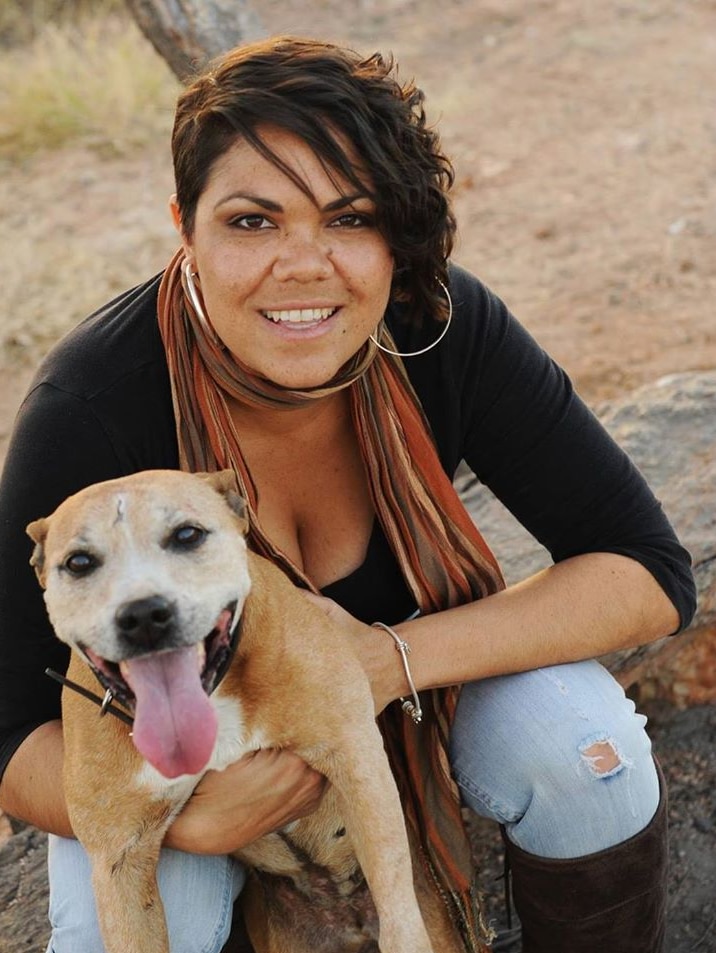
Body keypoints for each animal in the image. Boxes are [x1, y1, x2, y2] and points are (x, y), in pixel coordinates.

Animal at [28, 468, 458, 952]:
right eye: (79, 563)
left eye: (187, 535)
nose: (142, 615)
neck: (216, 696)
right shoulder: (118, 861)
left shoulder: (356, 762)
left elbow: (398, 910)